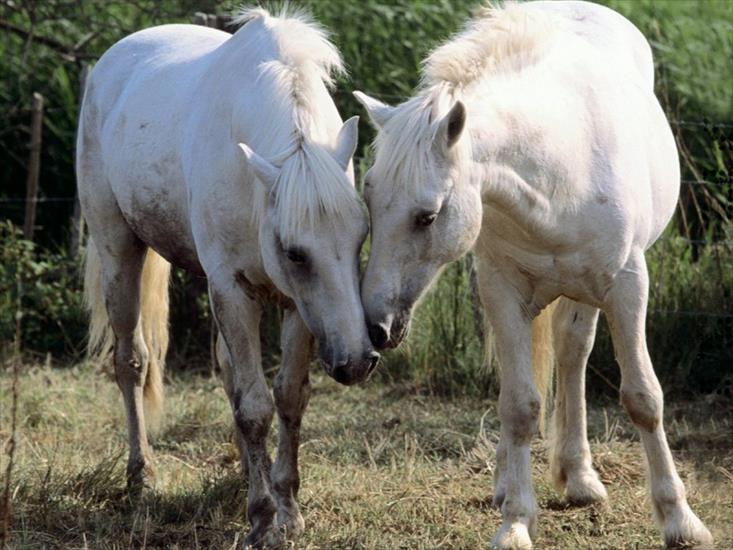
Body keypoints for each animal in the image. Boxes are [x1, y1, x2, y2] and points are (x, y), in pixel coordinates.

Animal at [78, 7, 378, 548]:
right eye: (295, 252)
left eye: (361, 236)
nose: (357, 362)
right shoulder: (235, 290)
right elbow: (255, 405)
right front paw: (261, 517)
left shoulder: (297, 307)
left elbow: (286, 396)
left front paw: (287, 508)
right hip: (118, 250)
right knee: (131, 361)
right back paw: (141, 475)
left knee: (229, 374)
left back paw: (243, 473)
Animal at [354, 2, 708, 548]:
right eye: (368, 202)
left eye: (427, 216)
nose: (377, 326)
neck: (558, 174)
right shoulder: (502, 290)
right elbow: (520, 405)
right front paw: (516, 521)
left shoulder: (628, 286)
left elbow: (643, 398)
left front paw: (679, 519)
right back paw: (515, 481)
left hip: (587, 292)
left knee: (572, 352)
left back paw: (581, 479)